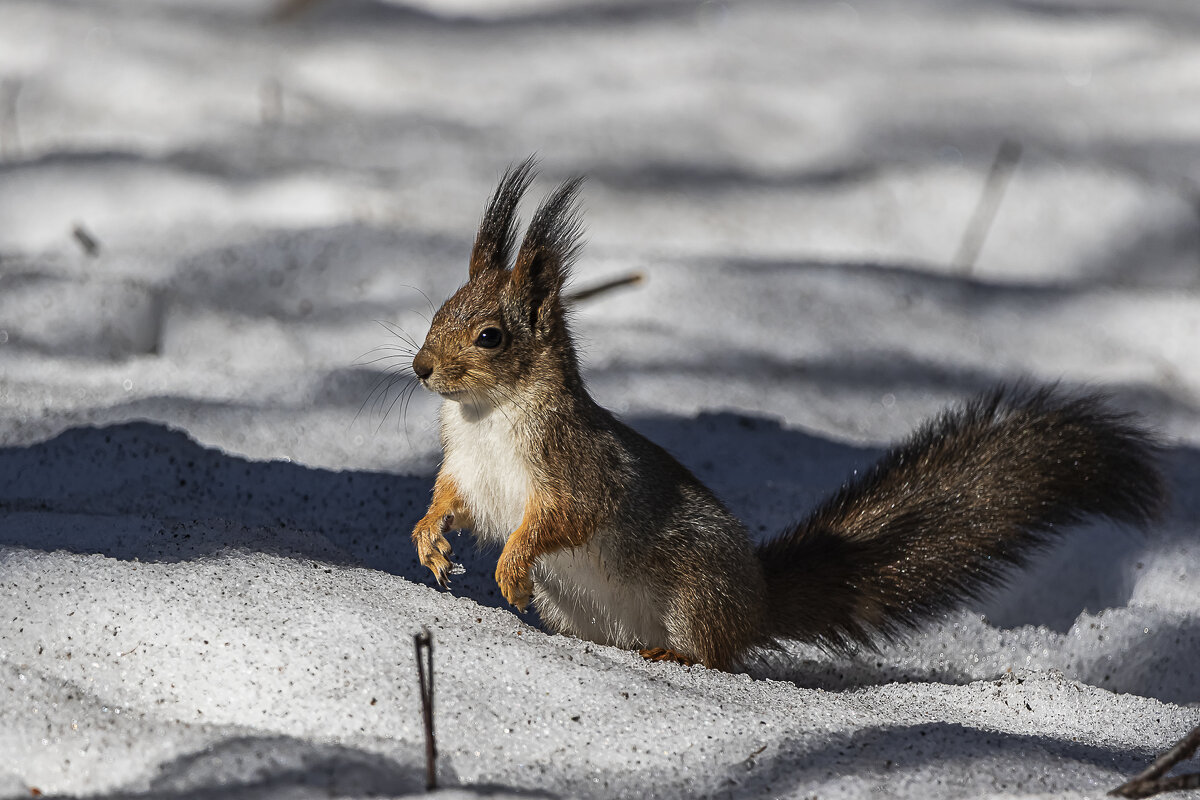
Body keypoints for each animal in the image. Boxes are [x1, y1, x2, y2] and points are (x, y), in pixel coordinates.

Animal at [408, 159, 1166, 671]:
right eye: (440, 308)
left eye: (490, 337)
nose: (421, 369)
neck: (485, 416)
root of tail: (757, 604)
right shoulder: (468, 472)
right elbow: (452, 500)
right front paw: (429, 541)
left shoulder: (578, 468)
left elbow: (563, 519)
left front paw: (512, 565)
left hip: (697, 592)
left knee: (716, 654)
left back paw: (676, 657)